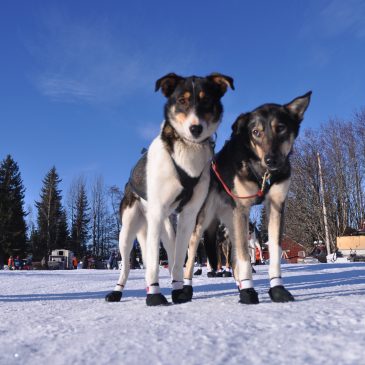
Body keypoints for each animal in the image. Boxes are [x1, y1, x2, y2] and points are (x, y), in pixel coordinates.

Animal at [104, 72, 233, 304]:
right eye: (181, 100)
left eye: (206, 100)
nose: (195, 128)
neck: (186, 154)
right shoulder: (156, 215)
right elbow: (154, 264)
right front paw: (155, 295)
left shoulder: (188, 216)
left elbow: (179, 260)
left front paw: (179, 290)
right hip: (128, 232)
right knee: (127, 266)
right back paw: (118, 291)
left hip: (166, 228)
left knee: (172, 256)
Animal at [182, 92, 310, 302]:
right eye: (256, 132)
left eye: (281, 128)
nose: (271, 159)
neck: (262, 173)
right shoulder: (242, 209)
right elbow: (243, 257)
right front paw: (249, 291)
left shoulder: (276, 206)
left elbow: (274, 251)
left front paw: (277, 288)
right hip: (202, 225)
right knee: (191, 258)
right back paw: (185, 289)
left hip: (232, 224)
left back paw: (239, 284)